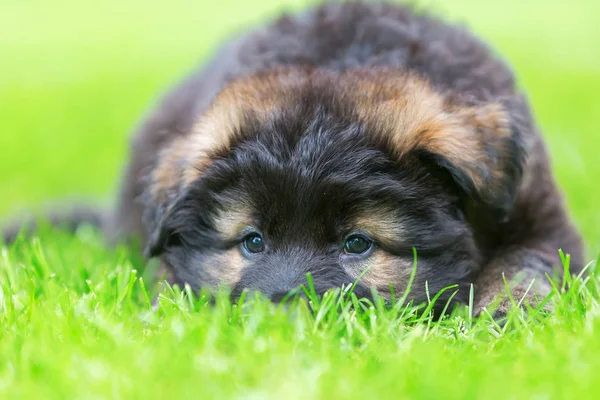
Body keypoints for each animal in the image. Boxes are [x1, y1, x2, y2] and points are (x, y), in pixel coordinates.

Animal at [3, 2, 584, 316]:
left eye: (357, 244)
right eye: (252, 242)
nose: (285, 315)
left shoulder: (544, 222)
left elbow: (525, 266)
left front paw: (504, 312)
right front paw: (172, 308)